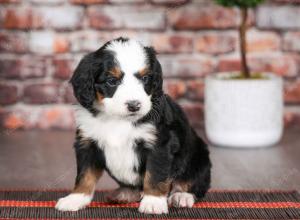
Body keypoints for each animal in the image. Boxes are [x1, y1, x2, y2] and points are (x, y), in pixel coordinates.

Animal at [56, 37, 211, 215]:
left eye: (145, 78)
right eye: (112, 81)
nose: (134, 105)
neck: (118, 120)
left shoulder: (159, 144)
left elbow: (155, 174)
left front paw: (153, 202)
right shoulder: (87, 142)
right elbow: (84, 175)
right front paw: (75, 198)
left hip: (199, 157)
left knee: (193, 182)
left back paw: (182, 196)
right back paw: (125, 194)